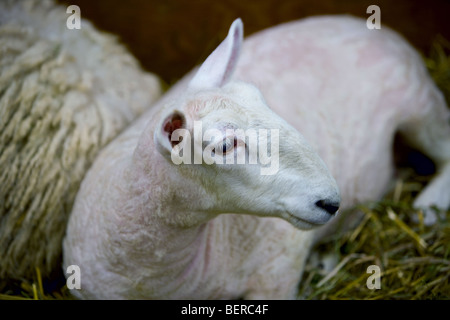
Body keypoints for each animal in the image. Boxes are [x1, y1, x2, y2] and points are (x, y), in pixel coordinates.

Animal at [63, 15, 450, 300]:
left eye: (257, 94)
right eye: (223, 146)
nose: (331, 202)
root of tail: (367, 26)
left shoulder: (278, 268)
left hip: (420, 102)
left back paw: (427, 208)